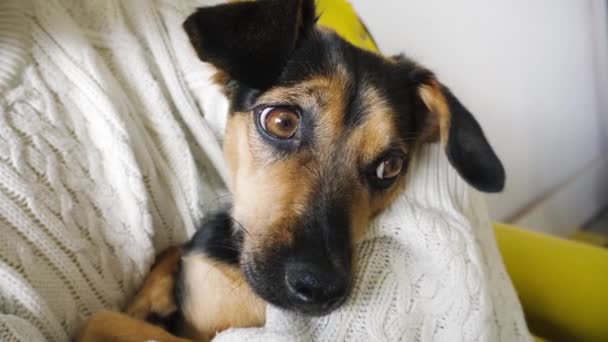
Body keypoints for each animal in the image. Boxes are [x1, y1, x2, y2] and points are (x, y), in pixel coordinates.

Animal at [76, 0, 504, 342]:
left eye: (391, 166)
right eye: (281, 122)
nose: (319, 290)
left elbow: (102, 319)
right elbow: (167, 256)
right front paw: (152, 294)